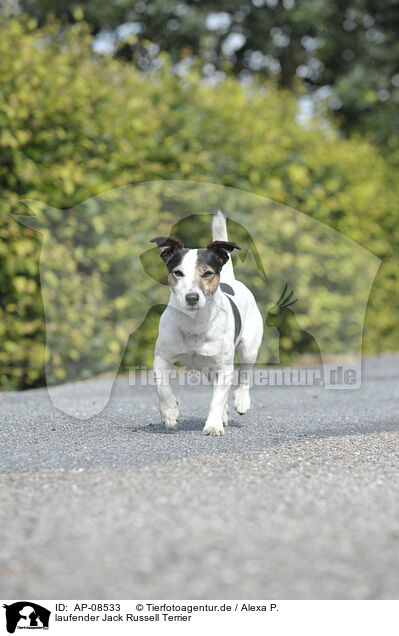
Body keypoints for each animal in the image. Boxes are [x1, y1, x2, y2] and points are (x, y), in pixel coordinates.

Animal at [150, 211, 262, 434]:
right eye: (178, 272)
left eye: (208, 273)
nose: (192, 297)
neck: (194, 323)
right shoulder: (161, 358)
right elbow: (162, 386)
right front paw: (170, 413)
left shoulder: (224, 367)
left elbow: (216, 400)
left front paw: (213, 425)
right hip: (208, 368)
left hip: (249, 347)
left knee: (245, 374)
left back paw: (241, 401)